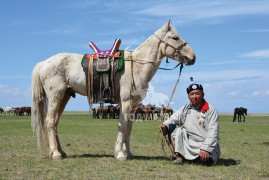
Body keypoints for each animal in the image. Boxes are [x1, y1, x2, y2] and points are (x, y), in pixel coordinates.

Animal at [30, 20, 195, 160]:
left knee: (55, 122)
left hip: (65, 96)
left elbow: (128, 128)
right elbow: (122, 126)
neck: (137, 66)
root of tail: (44, 63)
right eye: (175, 37)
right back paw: (56, 154)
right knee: (50, 121)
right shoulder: (126, 103)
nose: (192, 57)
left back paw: (61, 151)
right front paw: (120, 154)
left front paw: (128, 153)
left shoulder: (133, 106)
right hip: (55, 96)